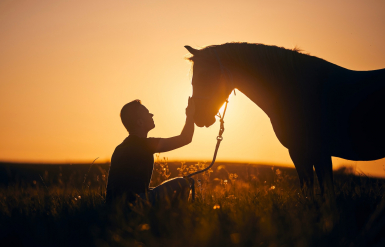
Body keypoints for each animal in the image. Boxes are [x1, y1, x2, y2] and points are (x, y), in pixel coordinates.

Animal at [183, 42, 384, 203]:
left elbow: (321, 189)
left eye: (204, 75)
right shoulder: (304, 152)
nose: (198, 117)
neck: (297, 90)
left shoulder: (316, 152)